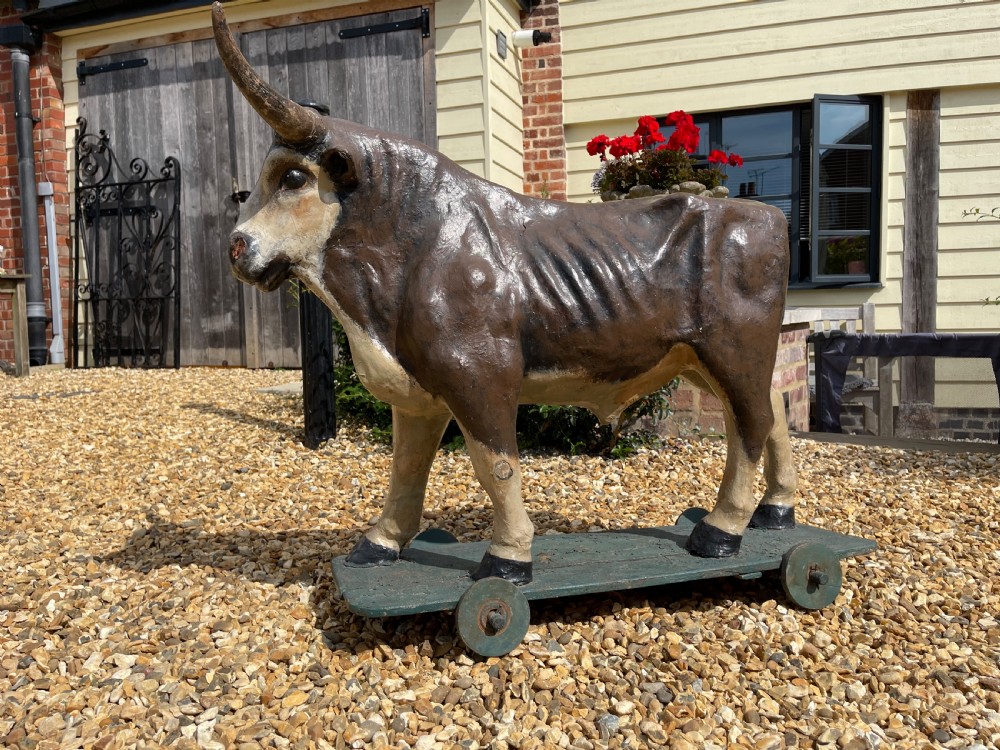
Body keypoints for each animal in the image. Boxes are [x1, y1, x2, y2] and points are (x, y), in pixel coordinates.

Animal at [211, 3, 797, 586]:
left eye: (293, 178)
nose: (235, 247)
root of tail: (762, 214)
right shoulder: (419, 389)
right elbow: (406, 467)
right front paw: (381, 541)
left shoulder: (479, 374)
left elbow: (495, 465)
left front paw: (508, 556)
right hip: (706, 357)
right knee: (771, 410)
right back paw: (776, 511)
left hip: (734, 348)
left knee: (750, 425)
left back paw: (720, 530)